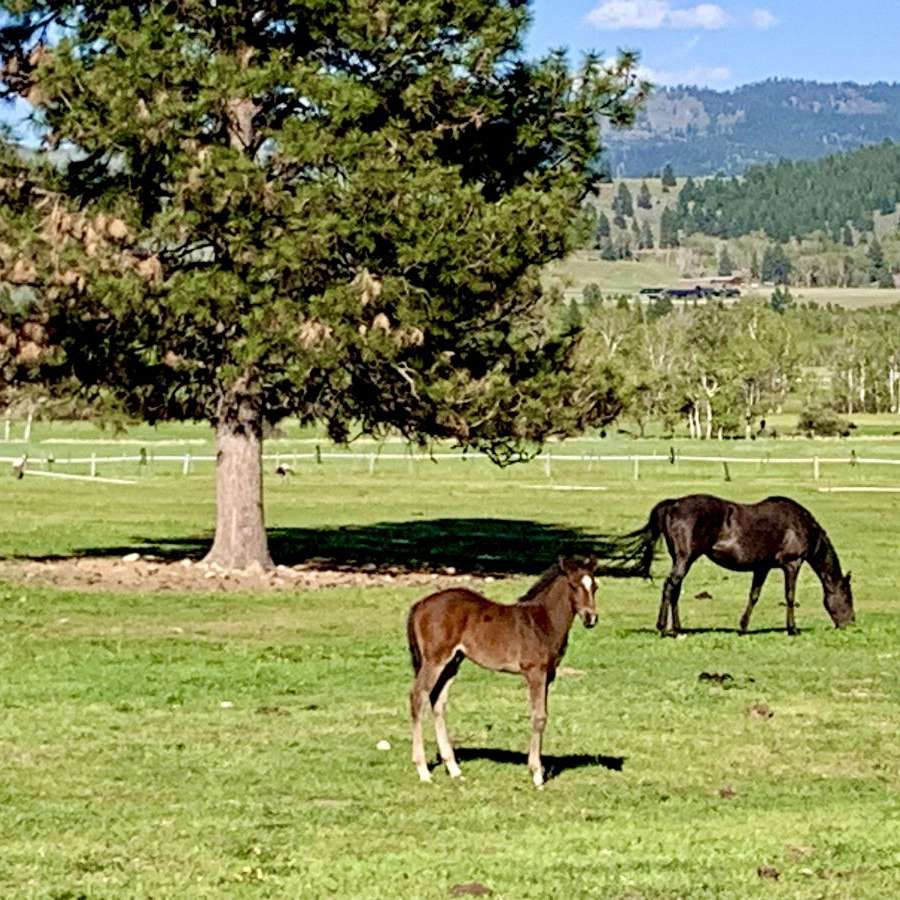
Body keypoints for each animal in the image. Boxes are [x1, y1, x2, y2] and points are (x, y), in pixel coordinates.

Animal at [404, 556, 596, 788]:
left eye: (595, 587)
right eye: (574, 586)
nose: (591, 618)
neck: (542, 621)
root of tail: (420, 605)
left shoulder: (548, 675)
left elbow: (542, 715)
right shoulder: (535, 673)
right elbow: (539, 717)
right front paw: (537, 775)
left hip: (453, 662)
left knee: (437, 701)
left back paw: (454, 768)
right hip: (434, 660)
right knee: (418, 696)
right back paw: (423, 770)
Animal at [616, 496, 856, 636]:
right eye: (848, 597)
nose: (851, 623)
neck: (800, 525)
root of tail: (673, 505)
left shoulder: (762, 567)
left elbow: (754, 595)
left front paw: (743, 627)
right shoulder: (792, 564)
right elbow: (789, 596)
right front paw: (793, 629)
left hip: (681, 559)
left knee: (675, 589)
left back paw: (677, 628)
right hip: (685, 559)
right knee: (670, 586)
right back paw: (664, 629)